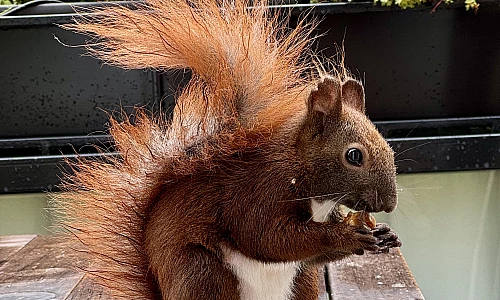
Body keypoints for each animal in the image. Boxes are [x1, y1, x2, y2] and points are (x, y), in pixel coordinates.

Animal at [51, 0, 402, 298]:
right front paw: (345, 235)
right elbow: (267, 238)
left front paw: (383, 235)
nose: (389, 204)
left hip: (301, 281)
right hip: (202, 273)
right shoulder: (259, 192)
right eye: (354, 156)